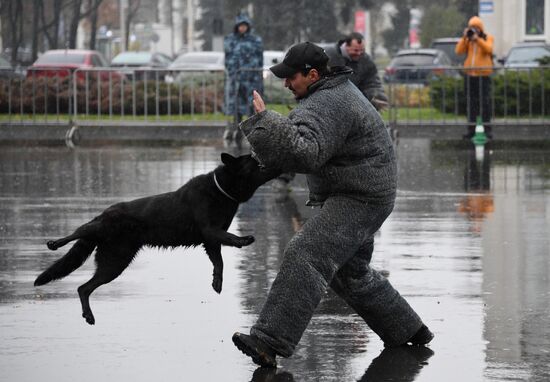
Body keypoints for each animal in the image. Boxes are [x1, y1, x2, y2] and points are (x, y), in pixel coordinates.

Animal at [35, 154, 280, 324]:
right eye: (254, 160)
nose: (276, 162)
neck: (221, 189)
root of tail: (105, 212)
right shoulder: (210, 231)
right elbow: (228, 238)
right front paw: (242, 240)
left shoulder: (210, 241)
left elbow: (218, 262)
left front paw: (217, 282)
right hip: (105, 235)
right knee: (80, 230)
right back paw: (55, 243)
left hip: (114, 262)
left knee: (83, 288)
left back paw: (88, 315)